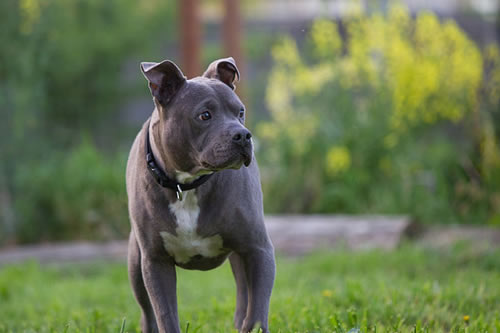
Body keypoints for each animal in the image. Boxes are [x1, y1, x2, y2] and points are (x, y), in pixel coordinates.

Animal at [124, 57, 274, 332]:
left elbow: (257, 312)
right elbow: (165, 314)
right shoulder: (155, 261)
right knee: (147, 312)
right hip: (135, 263)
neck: (187, 185)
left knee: (244, 295)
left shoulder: (258, 249)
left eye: (240, 112)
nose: (243, 135)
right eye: (204, 115)